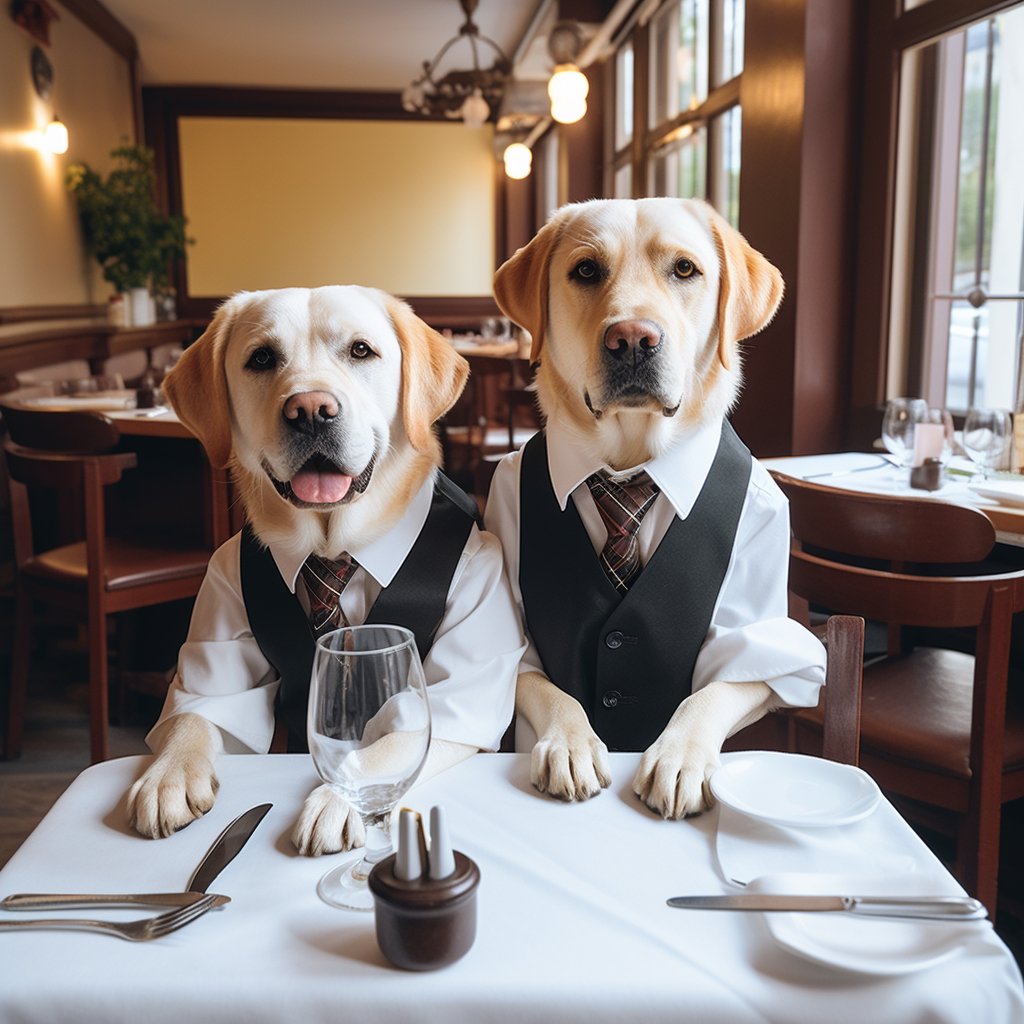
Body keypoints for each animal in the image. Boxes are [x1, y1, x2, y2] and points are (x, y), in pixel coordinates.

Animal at [128, 284, 524, 851]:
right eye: (261, 358)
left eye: (361, 350)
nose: (310, 410)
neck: (334, 548)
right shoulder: (221, 589)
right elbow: (197, 717)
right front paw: (168, 774)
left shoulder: (463, 665)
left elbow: (392, 740)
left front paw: (339, 798)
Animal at [483, 199, 827, 819]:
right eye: (586, 271)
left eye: (685, 269)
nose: (632, 338)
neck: (628, 463)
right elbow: (549, 687)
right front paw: (572, 740)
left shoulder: (767, 630)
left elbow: (715, 688)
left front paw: (680, 753)